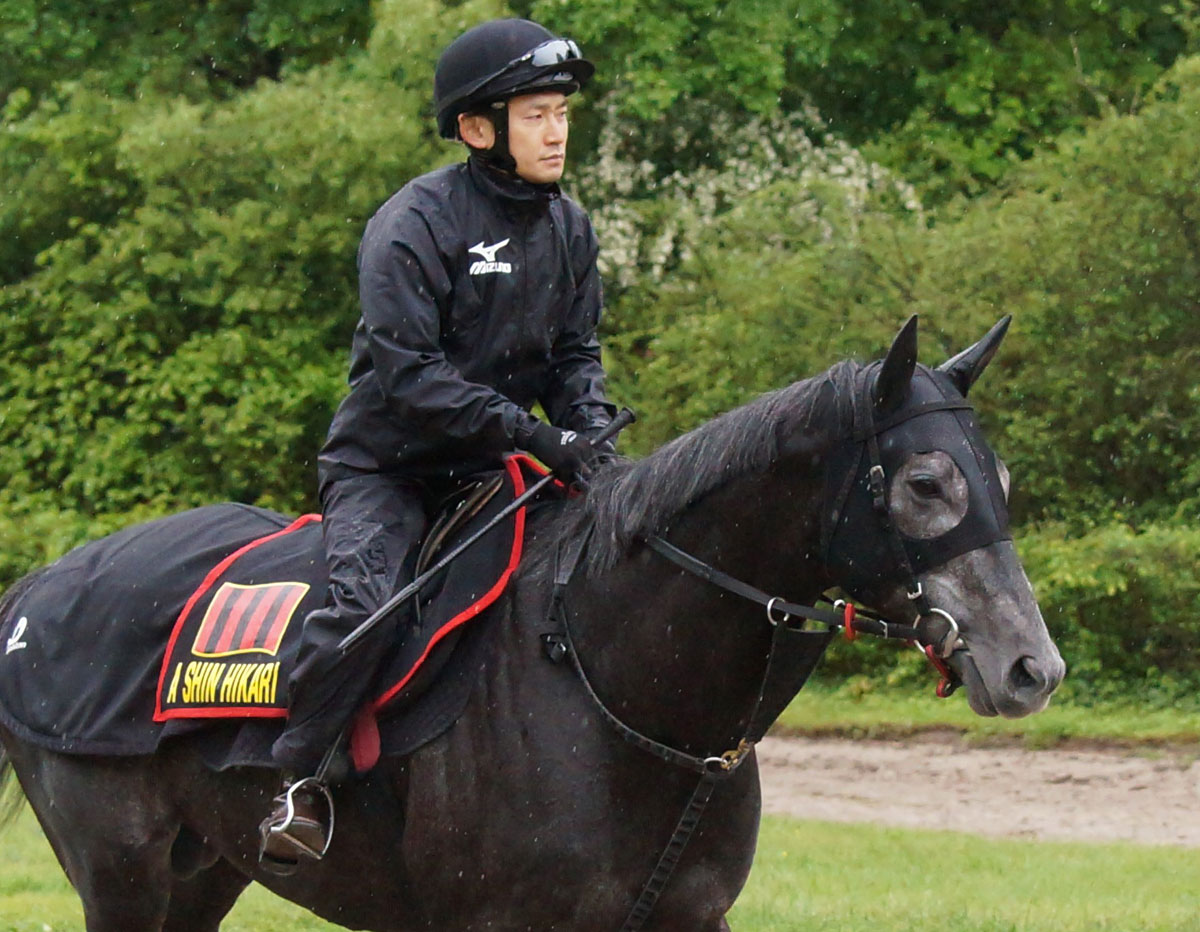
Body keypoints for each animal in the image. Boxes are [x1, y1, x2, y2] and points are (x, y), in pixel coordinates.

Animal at [0, 316, 1063, 931]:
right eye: (925, 483)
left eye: (1001, 478)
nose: (1031, 667)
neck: (609, 682)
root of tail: (36, 591)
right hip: (122, 875)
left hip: (203, 872)